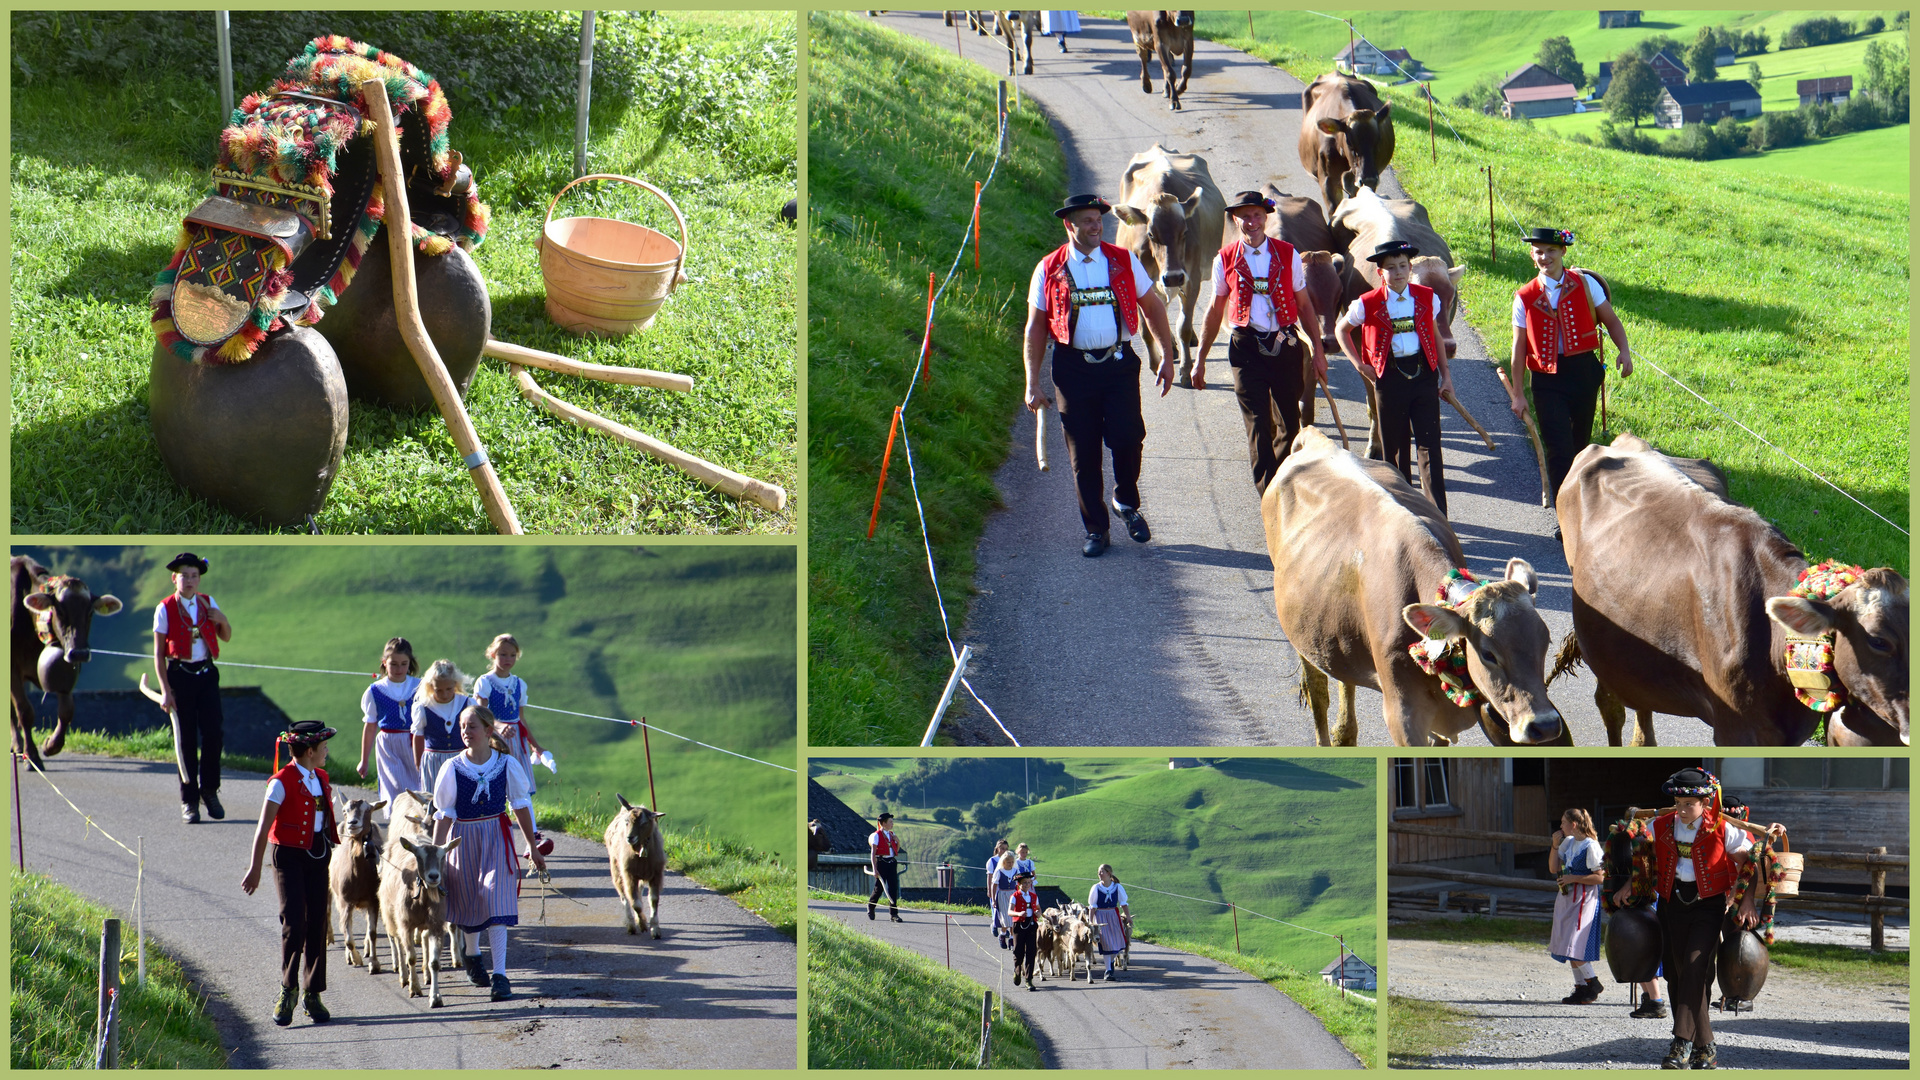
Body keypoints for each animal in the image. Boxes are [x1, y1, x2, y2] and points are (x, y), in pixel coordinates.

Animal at [9, 553, 120, 764]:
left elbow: (67, 711)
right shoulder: (12, 669)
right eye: (59, 611)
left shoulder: (64, 669)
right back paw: (18, 748)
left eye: (90, 612)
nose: (80, 653)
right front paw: (32, 755)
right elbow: (24, 711)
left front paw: (51, 745)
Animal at [1121, 143, 1221, 386]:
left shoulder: (1191, 279)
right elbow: (1146, 327)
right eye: (1150, 234)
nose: (1173, 276)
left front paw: (1185, 370)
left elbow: (1183, 325)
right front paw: (1155, 363)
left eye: (1184, 231)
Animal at [1267, 424, 1566, 745]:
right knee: (1318, 690)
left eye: (1545, 640)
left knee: (1343, 678)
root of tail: (1316, 439)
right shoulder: (1402, 714)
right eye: (1488, 654)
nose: (1545, 725)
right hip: (1299, 631)